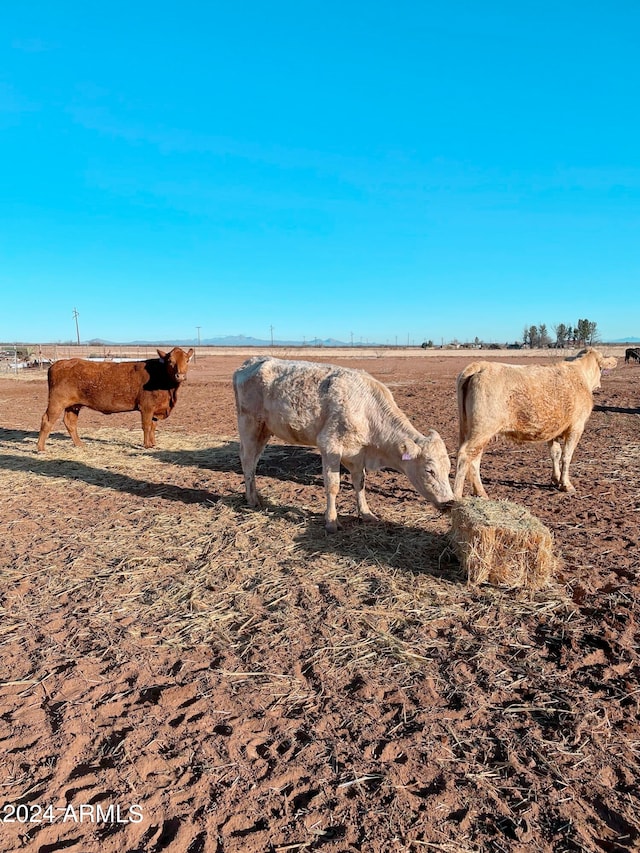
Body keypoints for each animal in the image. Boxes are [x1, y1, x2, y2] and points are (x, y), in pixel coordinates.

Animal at [36, 346, 192, 452]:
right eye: (170, 361)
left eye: (187, 360)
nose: (180, 376)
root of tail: (59, 363)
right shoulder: (146, 407)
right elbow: (147, 426)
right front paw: (147, 445)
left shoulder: (156, 409)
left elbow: (153, 427)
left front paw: (153, 444)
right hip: (56, 402)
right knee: (47, 420)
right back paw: (40, 448)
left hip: (73, 405)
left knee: (70, 423)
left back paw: (79, 444)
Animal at [232, 354, 452, 528]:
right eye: (429, 471)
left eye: (449, 469)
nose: (450, 502)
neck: (367, 409)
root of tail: (251, 362)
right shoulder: (330, 446)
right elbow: (333, 485)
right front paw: (331, 521)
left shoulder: (356, 453)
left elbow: (360, 483)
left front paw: (366, 513)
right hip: (249, 425)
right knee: (247, 460)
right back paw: (252, 499)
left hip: (264, 431)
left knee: (254, 460)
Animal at [452, 344, 616, 496]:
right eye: (601, 367)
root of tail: (481, 365)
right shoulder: (576, 427)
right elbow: (566, 456)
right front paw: (566, 484)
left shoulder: (554, 428)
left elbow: (555, 453)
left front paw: (555, 479)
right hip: (483, 430)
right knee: (466, 455)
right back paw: (458, 496)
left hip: (471, 429)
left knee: (474, 459)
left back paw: (481, 493)